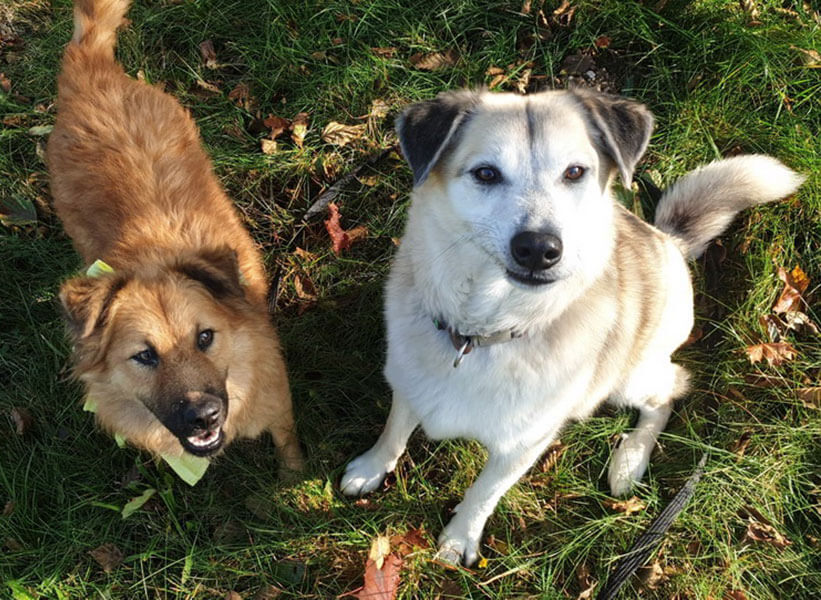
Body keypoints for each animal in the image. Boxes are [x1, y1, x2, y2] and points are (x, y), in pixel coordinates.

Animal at [47, 0, 303, 475]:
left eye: (205, 337)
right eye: (145, 355)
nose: (204, 416)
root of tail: (91, 70)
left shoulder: (278, 403)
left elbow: (288, 445)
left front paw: (298, 474)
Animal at [341, 88, 804, 565]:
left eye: (575, 172)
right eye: (486, 173)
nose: (538, 248)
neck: (482, 332)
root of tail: (669, 241)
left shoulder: (522, 446)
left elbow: (483, 493)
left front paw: (459, 538)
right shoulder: (409, 383)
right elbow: (395, 431)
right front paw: (372, 468)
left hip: (630, 375)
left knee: (669, 391)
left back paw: (629, 460)